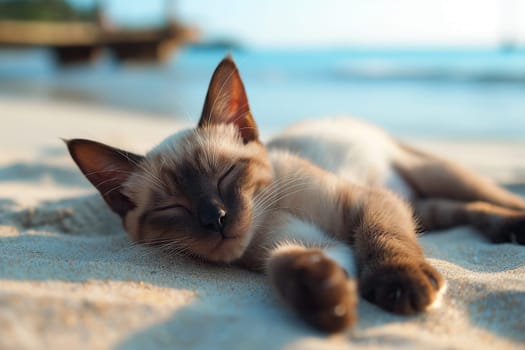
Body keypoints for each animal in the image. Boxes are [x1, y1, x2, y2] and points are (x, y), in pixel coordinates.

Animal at [65, 55, 524, 334]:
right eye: (173, 206)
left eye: (226, 175)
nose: (216, 218)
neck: (269, 216)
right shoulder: (316, 245)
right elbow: (285, 264)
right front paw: (330, 303)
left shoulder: (365, 203)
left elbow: (380, 237)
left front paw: (399, 285)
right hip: (424, 207)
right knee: (468, 210)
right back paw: (507, 231)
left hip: (436, 175)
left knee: (490, 196)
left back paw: (515, 222)